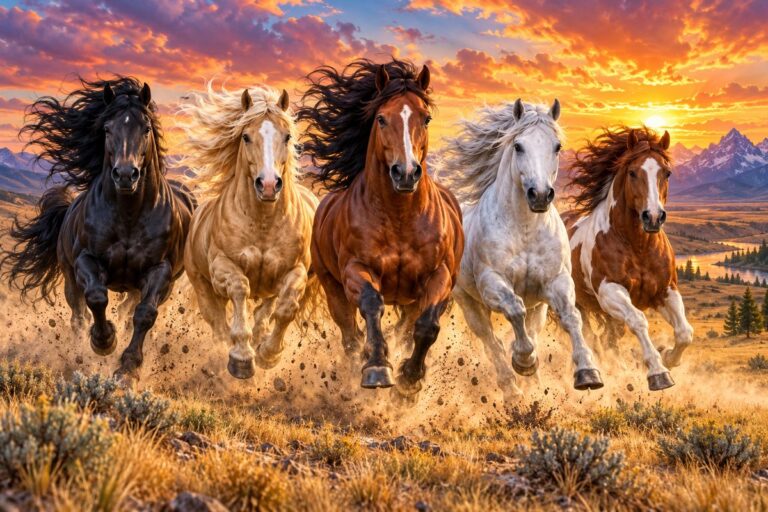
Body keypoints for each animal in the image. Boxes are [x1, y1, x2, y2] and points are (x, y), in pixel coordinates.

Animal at [2, 77, 196, 379]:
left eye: (146, 128)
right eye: (107, 128)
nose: (126, 175)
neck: (129, 215)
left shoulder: (160, 271)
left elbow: (145, 314)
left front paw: (128, 366)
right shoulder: (86, 261)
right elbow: (96, 298)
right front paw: (104, 341)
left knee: (130, 310)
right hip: (69, 277)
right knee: (78, 316)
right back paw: (80, 347)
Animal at [179, 84, 318, 379]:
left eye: (287, 136)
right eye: (245, 137)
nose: (268, 185)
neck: (263, 223)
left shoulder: (297, 271)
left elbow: (286, 308)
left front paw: (269, 354)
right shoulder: (222, 267)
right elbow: (240, 289)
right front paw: (242, 357)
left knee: (265, 311)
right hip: (203, 287)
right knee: (217, 322)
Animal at [298, 59, 464, 403]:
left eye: (426, 118)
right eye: (381, 118)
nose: (406, 173)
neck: (400, 217)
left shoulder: (440, 275)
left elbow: (427, 326)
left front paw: (410, 378)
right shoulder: (355, 269)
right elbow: (372, 305)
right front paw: (377, 367)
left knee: (406, 327)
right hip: (332, 287)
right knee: (350, 334)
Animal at [440, 99, 603, 401]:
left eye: (557, 146)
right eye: (518, 146)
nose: (539, 195)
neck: (525, 229)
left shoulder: (557, 281)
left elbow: (571, 318)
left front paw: (588, 373)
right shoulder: (492, 283)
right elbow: (514, 310)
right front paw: (524, 361)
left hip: (538, 305)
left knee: (531, 329)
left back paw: (534, 382)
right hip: (469, 302)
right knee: (489, 340)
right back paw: (513, 389)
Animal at [562, 126, 693, 391]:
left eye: (667, 173)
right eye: (633, 172)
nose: (653, 217)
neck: (637, 246)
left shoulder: (665, 291)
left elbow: (685, 332)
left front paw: (668, 357)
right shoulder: (609, 291)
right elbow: (638, 320)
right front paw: (659, 373)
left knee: (607, 338)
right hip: (579, 303)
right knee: (588, 334)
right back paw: (589, 372)